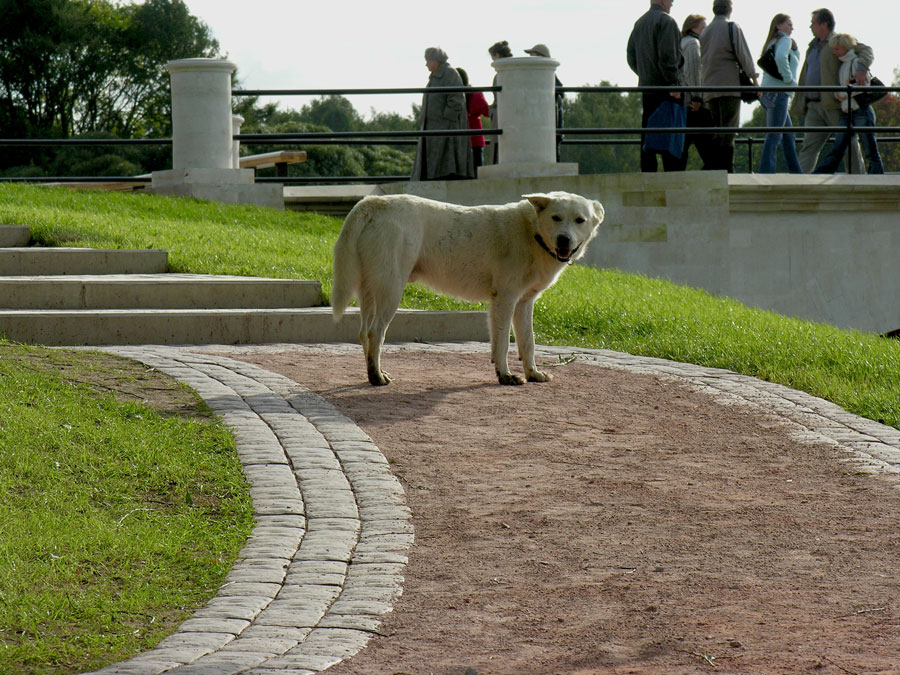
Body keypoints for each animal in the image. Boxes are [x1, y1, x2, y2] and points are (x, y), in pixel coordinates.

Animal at [330, 193, 604, 388]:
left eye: (579, 220)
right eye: (556, 218)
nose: (564, 239)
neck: (532, 233)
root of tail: (373, 202)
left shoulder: (524, 303)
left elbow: (528, 342)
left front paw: (533, 373)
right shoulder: (505, 299)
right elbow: (503, 343)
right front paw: (505, 376)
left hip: (369, 291)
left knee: (363, 333)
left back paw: (372, 373)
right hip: (391, 291)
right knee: (376, 333)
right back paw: (376, 378)